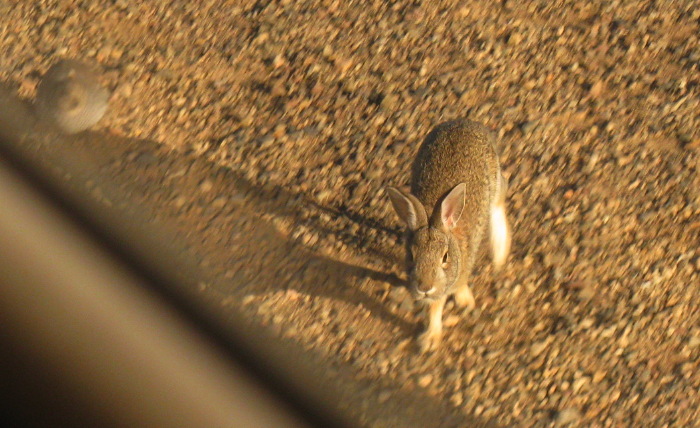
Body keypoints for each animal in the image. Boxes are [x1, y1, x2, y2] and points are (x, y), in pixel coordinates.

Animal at [386, 119, 512, 352]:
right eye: (411, 256)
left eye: (445, 257)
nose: (425, 287)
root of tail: (464, 122)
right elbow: (434, 308)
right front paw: (429, 339)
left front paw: (465, 301)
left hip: (494, 177)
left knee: (499, 200)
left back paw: (499, 251)